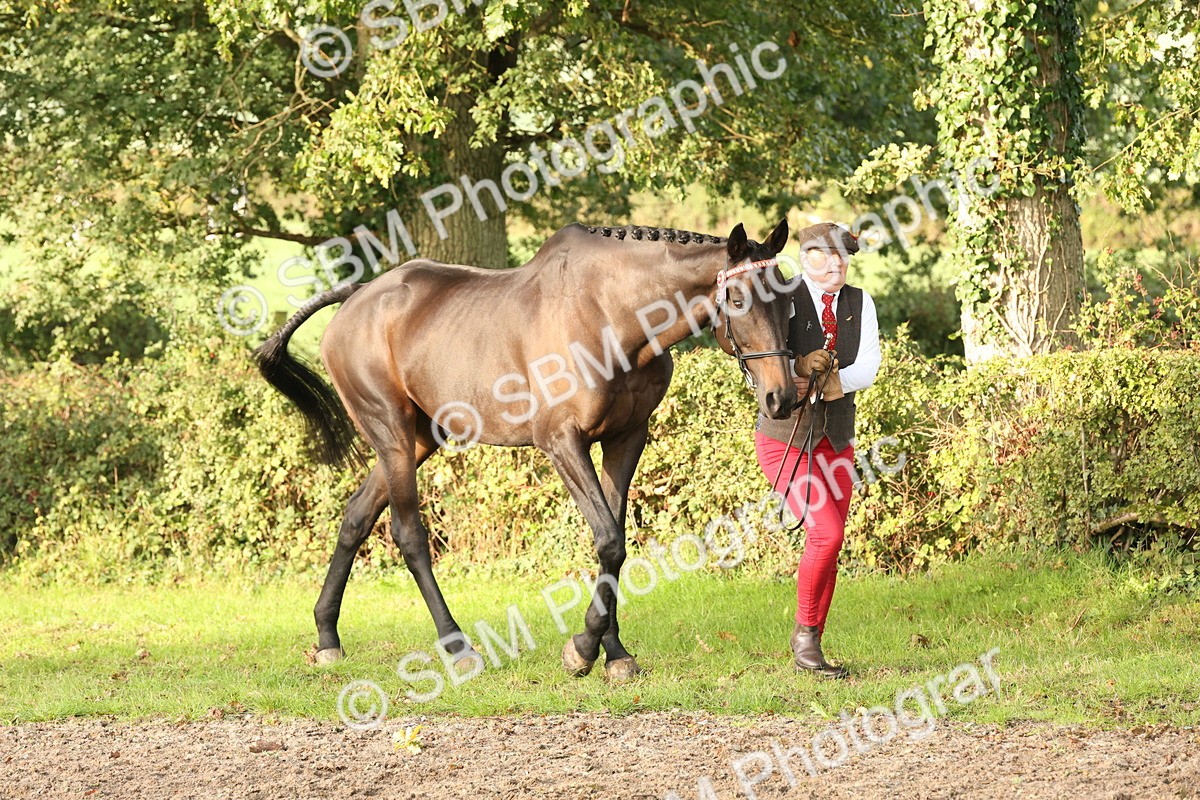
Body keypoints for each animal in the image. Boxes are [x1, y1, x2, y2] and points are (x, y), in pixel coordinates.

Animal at [254, 219, 798, 681]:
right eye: (737, 299)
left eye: (789, 301)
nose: (782, 397)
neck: (609, 312)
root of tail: (357, 297)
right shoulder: (562, 442)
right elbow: (609, 541)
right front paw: (583, 649)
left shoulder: (626, 439)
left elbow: (616, 541)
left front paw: (614, 653)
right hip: (391, 434)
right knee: (408, 535)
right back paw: (457, 647)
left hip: (419, 438)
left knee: (355, 517)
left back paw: (328, 637)